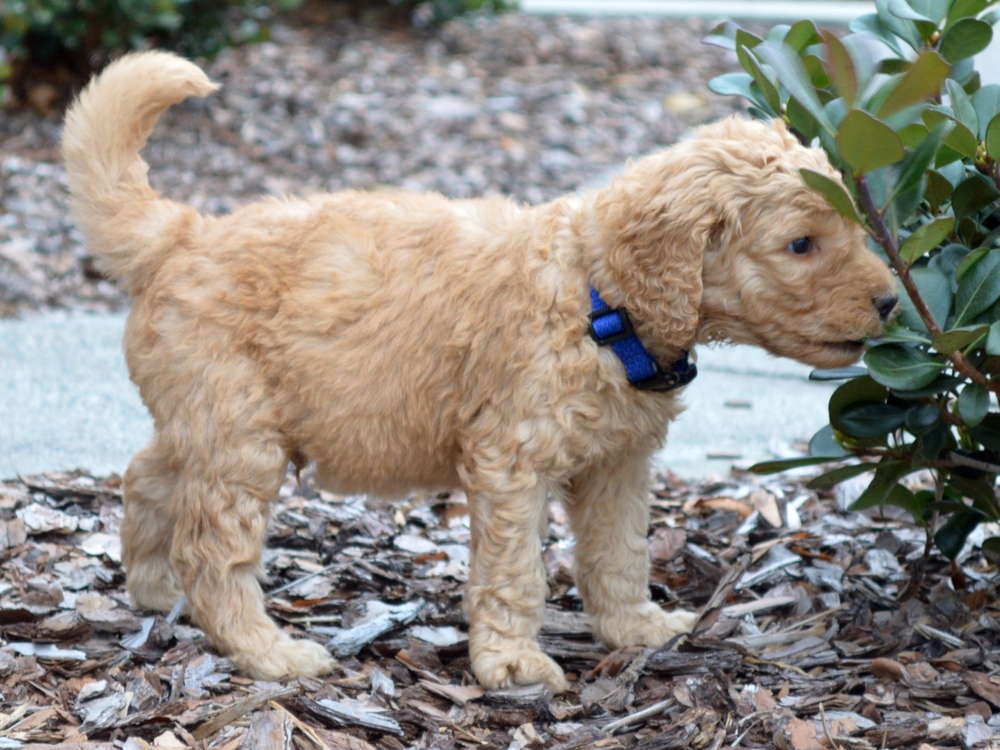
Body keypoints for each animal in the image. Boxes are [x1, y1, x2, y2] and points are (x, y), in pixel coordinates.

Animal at [62, 50, 900, 692]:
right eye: (801, 244)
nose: (894, 301)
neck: (596, 297)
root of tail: (181, 234)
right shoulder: (512, 462)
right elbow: (516, 573)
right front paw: (514, 664)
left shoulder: (619, 463)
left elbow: (619, 554)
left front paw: (637, 628)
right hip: (241, 436)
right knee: (214, 551)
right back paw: (266, 650)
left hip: (211, 420)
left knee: (147, 473)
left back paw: (152, 586)